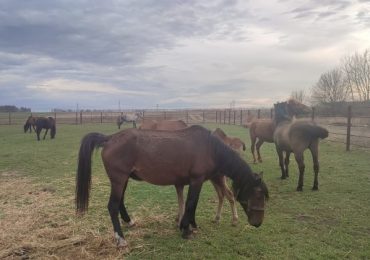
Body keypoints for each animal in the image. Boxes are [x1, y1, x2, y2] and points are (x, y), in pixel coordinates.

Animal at [76, 125, 270, 247]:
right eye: (258, 194)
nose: (258, 223)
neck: (210, 148)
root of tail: (109, 139)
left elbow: (190, 204)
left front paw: (190, 225)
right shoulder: (196, 180)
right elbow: (191, 204)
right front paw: (186, 229)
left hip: (122, 180)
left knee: (120, 203)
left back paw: (129, 222)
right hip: (118, 179)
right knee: (112, 206)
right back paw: (120, 239)